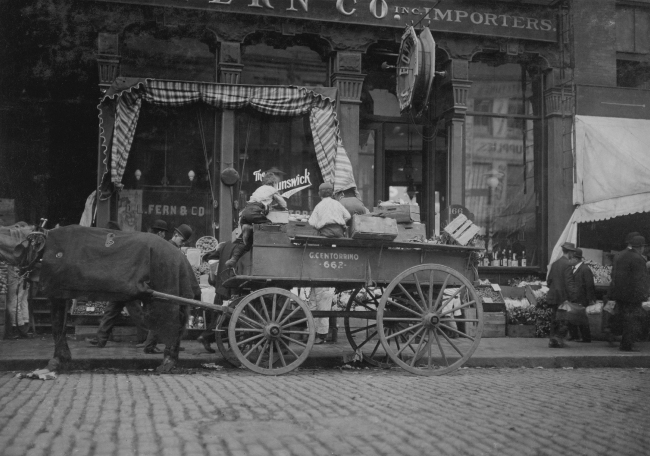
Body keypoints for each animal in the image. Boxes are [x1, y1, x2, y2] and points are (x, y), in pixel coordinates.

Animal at [0, 222, 200, 374]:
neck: (42, 247)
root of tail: (181, 257)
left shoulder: (55, 290)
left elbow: (57, 326)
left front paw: (57, 360)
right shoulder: (62, 293)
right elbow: (60, 325)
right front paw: (62, 358)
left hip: (166, 293)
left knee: (171, 323)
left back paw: (167, 361)